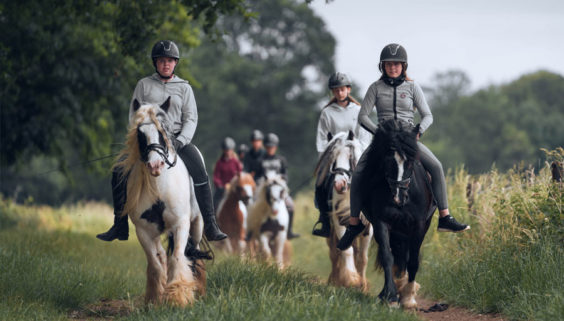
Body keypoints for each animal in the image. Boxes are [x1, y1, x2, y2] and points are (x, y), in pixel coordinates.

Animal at [115, 97, 208, 304]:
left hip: (197, 224)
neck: (159, 188)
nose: (155, 165)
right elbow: (156, 264)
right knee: (162, 256)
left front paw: (178, 297)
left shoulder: (181, 224)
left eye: (163, 130)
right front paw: (155, 298)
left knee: (195, 254)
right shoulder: (143, 230)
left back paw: (199, 289)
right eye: (140, 133)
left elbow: (178, 257)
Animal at [316, 131, 372, 292]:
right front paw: (352, 280)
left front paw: (362, 285)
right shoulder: (339, 221)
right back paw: (334, 280)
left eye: (350, 156)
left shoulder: (368, 228)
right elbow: (346, 250)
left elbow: (363, 258)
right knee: (334, 253)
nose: (339, 185)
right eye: (332, 159)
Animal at [356, 118, 436, 308]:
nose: (398, 198)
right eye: (387, 160)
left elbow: (413, 261)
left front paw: (409, 298)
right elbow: (388, 257)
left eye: (411, 161)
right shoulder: (381, 222)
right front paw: (391, 296)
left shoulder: (419, 225)